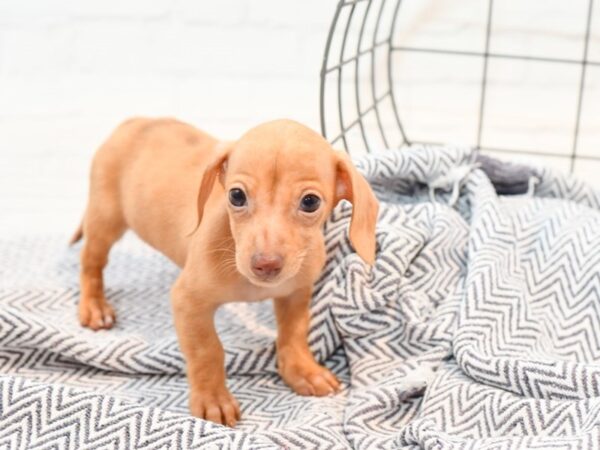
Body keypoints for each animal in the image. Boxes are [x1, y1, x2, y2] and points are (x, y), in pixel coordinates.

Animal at [71, 116, 380, 426]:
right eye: (236, 195)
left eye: (310, 202)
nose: (265, 263)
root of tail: (138, 120)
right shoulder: (188, 302)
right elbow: (208, 350)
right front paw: (213, 399)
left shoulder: (296, 293)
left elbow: (294, 334)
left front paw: (302, 369)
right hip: (105, 219)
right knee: (91, 262)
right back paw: (94, 305)